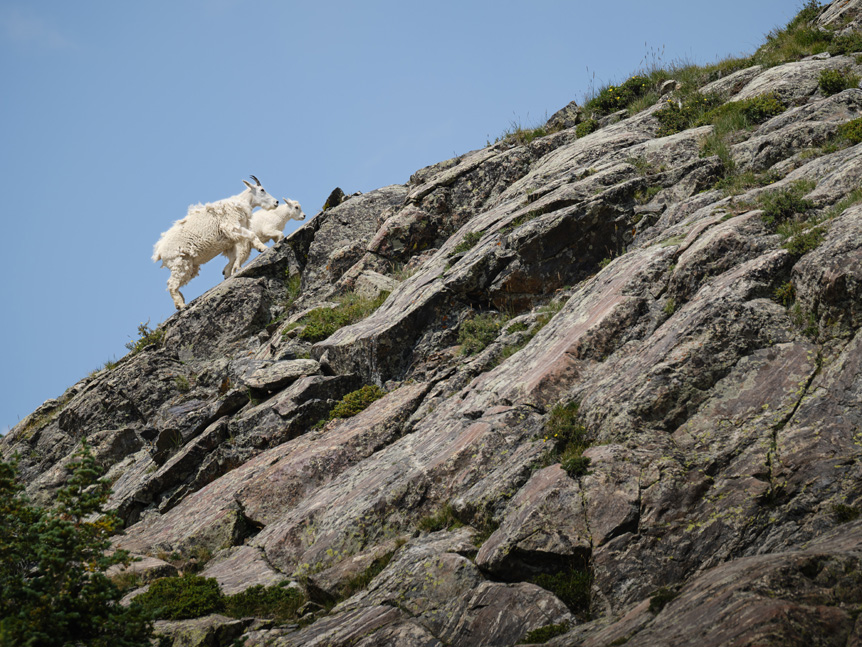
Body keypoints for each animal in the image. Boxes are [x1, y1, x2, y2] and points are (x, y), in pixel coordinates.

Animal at [152, 175, 278, 308]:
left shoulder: (230, 240)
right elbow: (252, 236)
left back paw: (181, 301)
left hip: (188, 265)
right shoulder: (232, 227)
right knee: (171, 284)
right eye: (262, 190)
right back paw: (181, 305)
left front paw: (227, 273)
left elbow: (233, 257)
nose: (276, 202)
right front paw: (262, 248)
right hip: (179, 262)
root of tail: (159, 252)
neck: (239, 203)